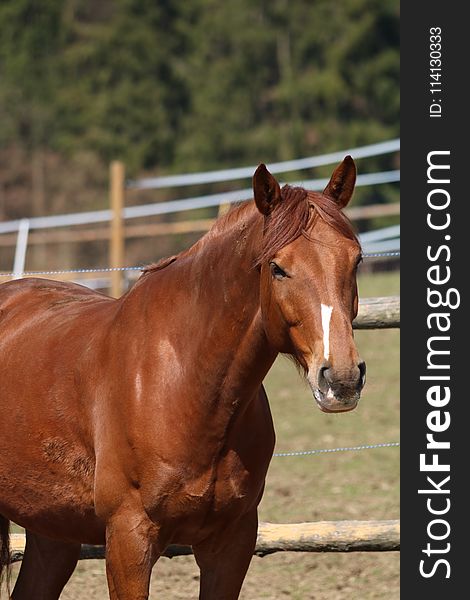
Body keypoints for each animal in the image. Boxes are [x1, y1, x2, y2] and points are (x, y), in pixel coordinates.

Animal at [0, 159, 366, 600]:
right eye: (277, 267)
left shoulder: (231, 543)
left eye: (356, 260)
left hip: (52, 528)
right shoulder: (128, 539)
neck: (186, 387)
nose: (341, 378)